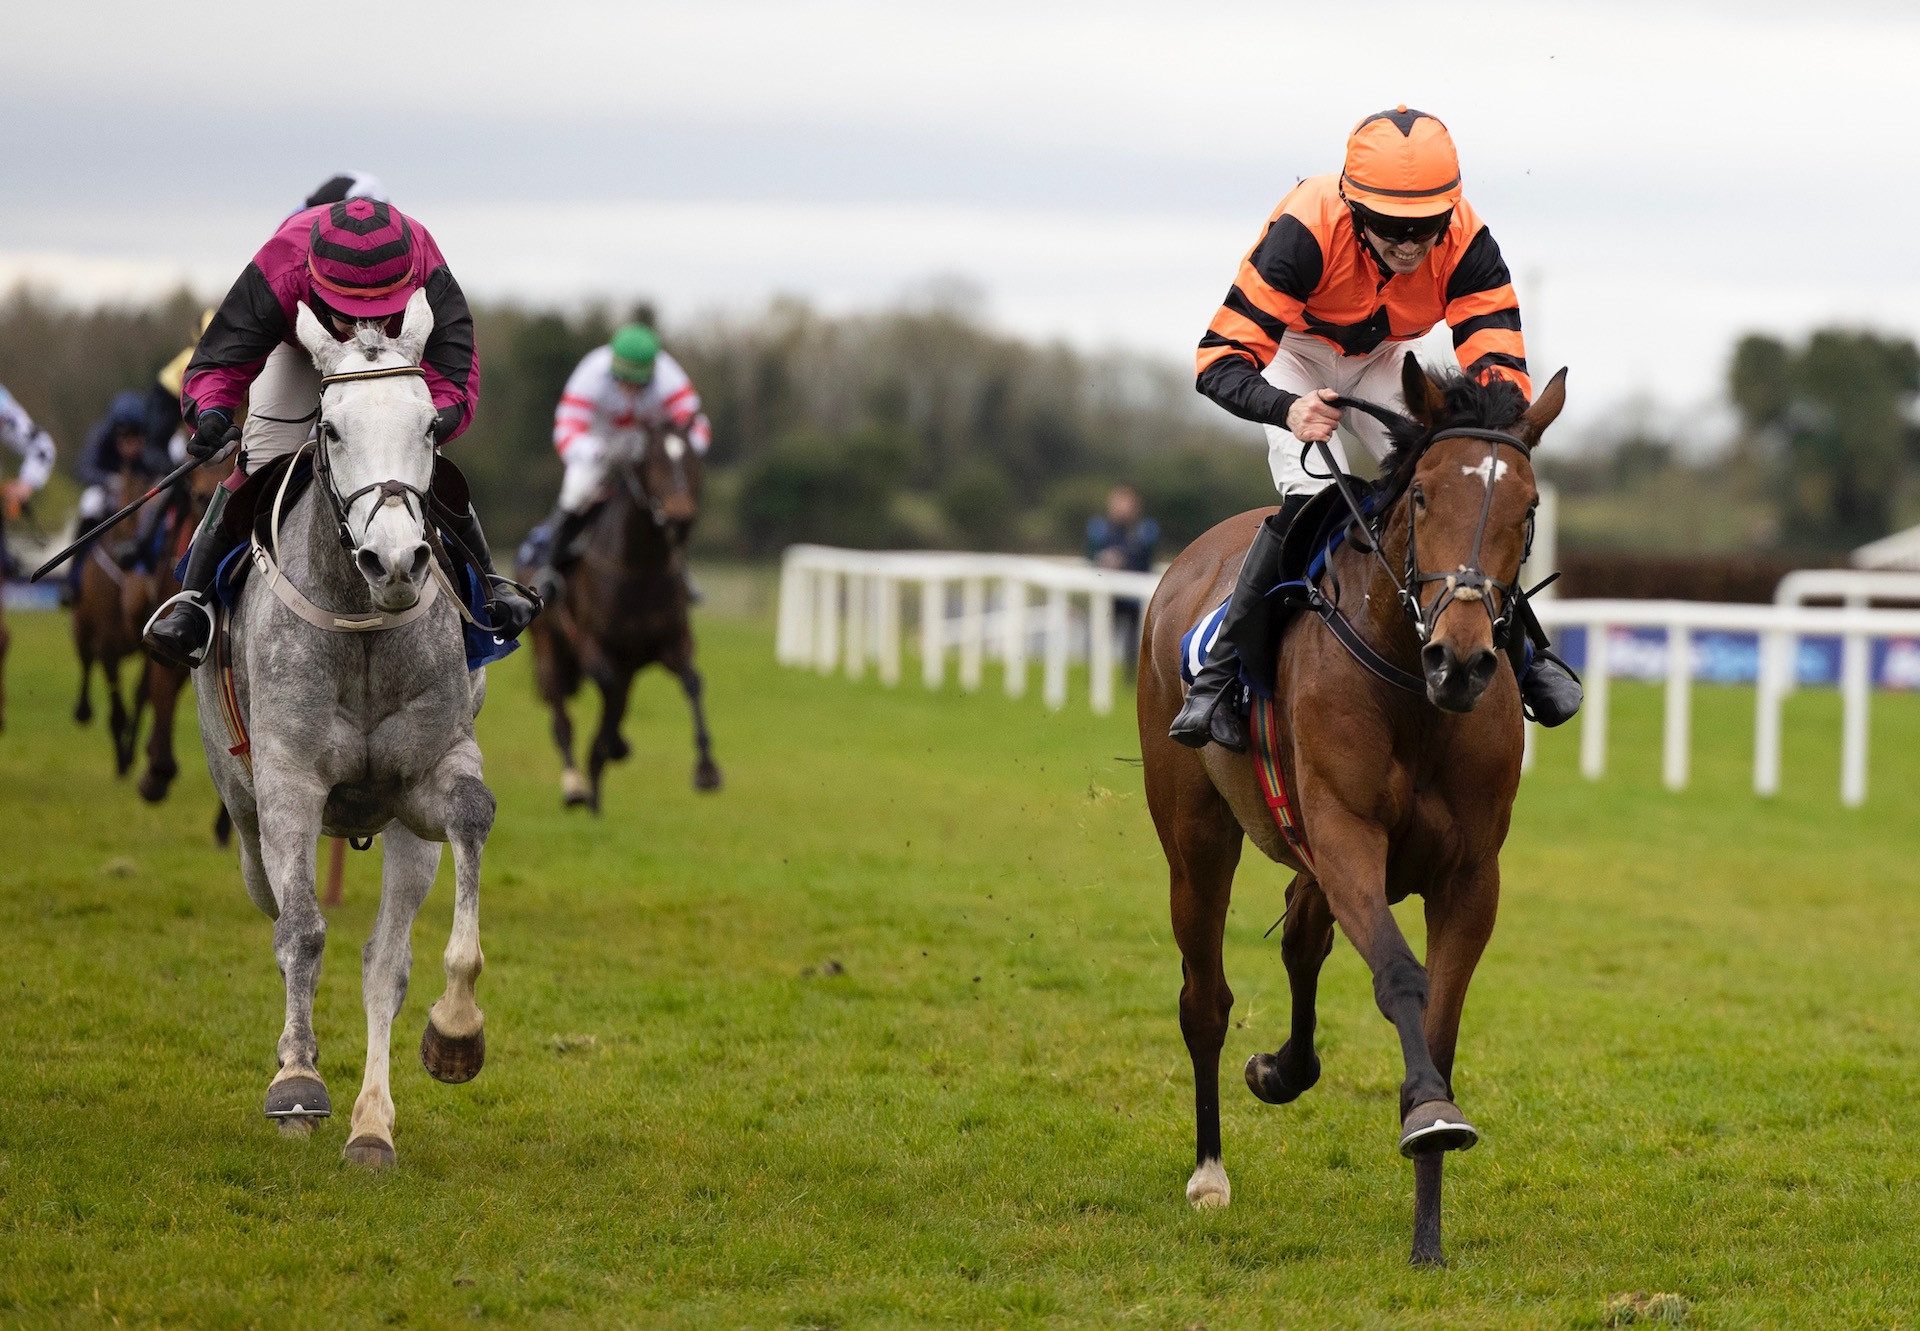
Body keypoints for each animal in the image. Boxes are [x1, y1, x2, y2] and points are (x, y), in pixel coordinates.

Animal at [522, 422, 721, 810]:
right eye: (651, 461)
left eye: (693, 459)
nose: (680, 518)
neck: (640, 567)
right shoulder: (590, 643)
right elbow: (606, 687)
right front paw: (612, 746)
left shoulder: (673, 642)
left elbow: (693, 682)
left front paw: (706, 769)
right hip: (548, 648)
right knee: (561, 716)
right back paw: (576, 784)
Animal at [1136, 355, 1559, 1267]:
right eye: (1424, 494)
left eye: (1529, 506)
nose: (1463, 660)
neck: (1412, 688)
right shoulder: (1346, 836)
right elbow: (1399, 973)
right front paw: (1429, 1113)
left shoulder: (1470, 874)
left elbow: (1439, 1019)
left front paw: (1428, 1226)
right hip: (1196, 836)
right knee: (1205, 998)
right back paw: (1209, 1171)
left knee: (1301, 936)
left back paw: (1281, 1069)